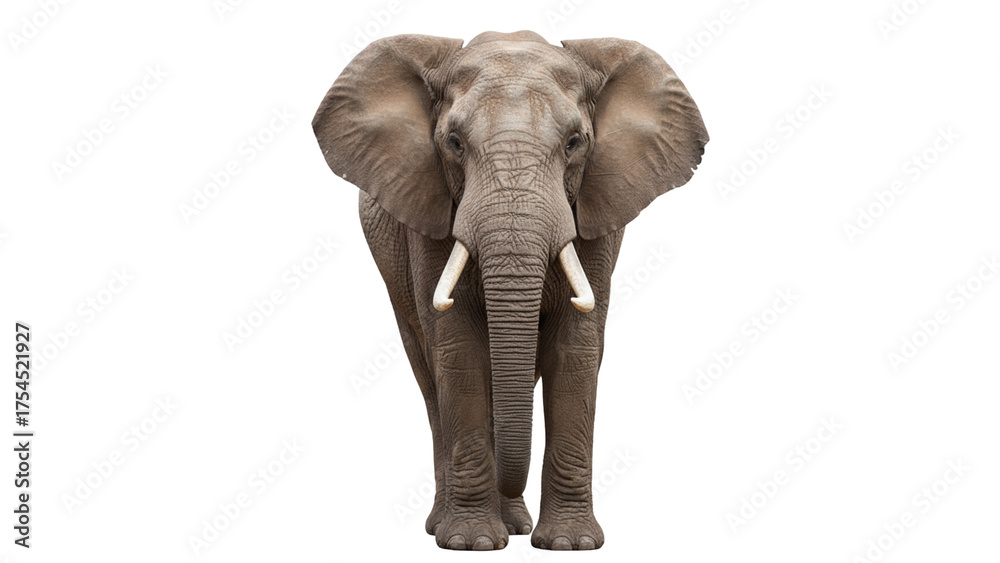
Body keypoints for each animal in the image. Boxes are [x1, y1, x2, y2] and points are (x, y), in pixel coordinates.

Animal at [313, 30, 707, 550]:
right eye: (454, 142)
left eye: (575, 142)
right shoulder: (429, 209)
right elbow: (458, 350)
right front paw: (471, 543)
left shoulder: (598, 212)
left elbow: (576, 350)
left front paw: (569, 545)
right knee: (430, 375)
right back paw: (453, 526)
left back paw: (516, 526)